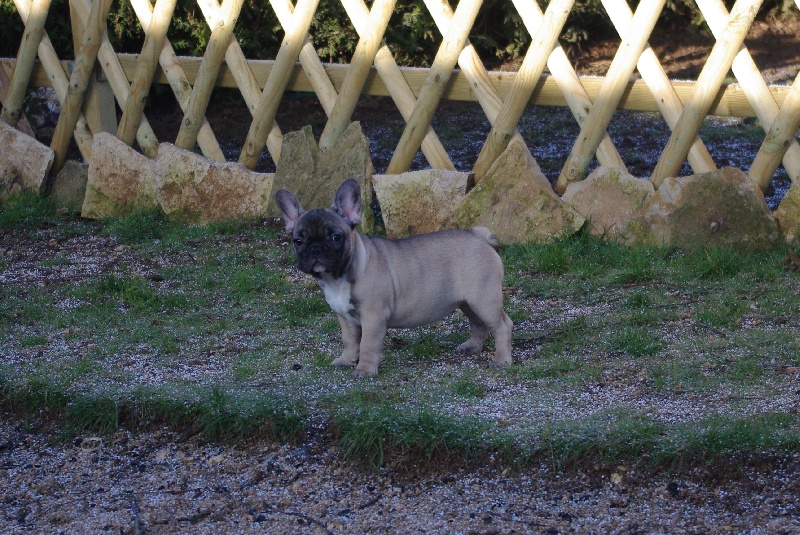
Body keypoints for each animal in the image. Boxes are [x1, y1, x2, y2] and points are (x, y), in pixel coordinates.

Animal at [275, 179, 513, 377]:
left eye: (335, 237)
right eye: (298, 241)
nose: (315, 250)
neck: (339, 276)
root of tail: (477, 235)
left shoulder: (373, 317)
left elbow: (367, 345)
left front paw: (365, 370)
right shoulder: (345, 318)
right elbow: (349, 341)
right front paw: (346, 361)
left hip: (484, 299)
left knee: (502, 326)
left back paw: (502, 360)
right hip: (468, 302)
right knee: (479, 323)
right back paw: (472, 347)